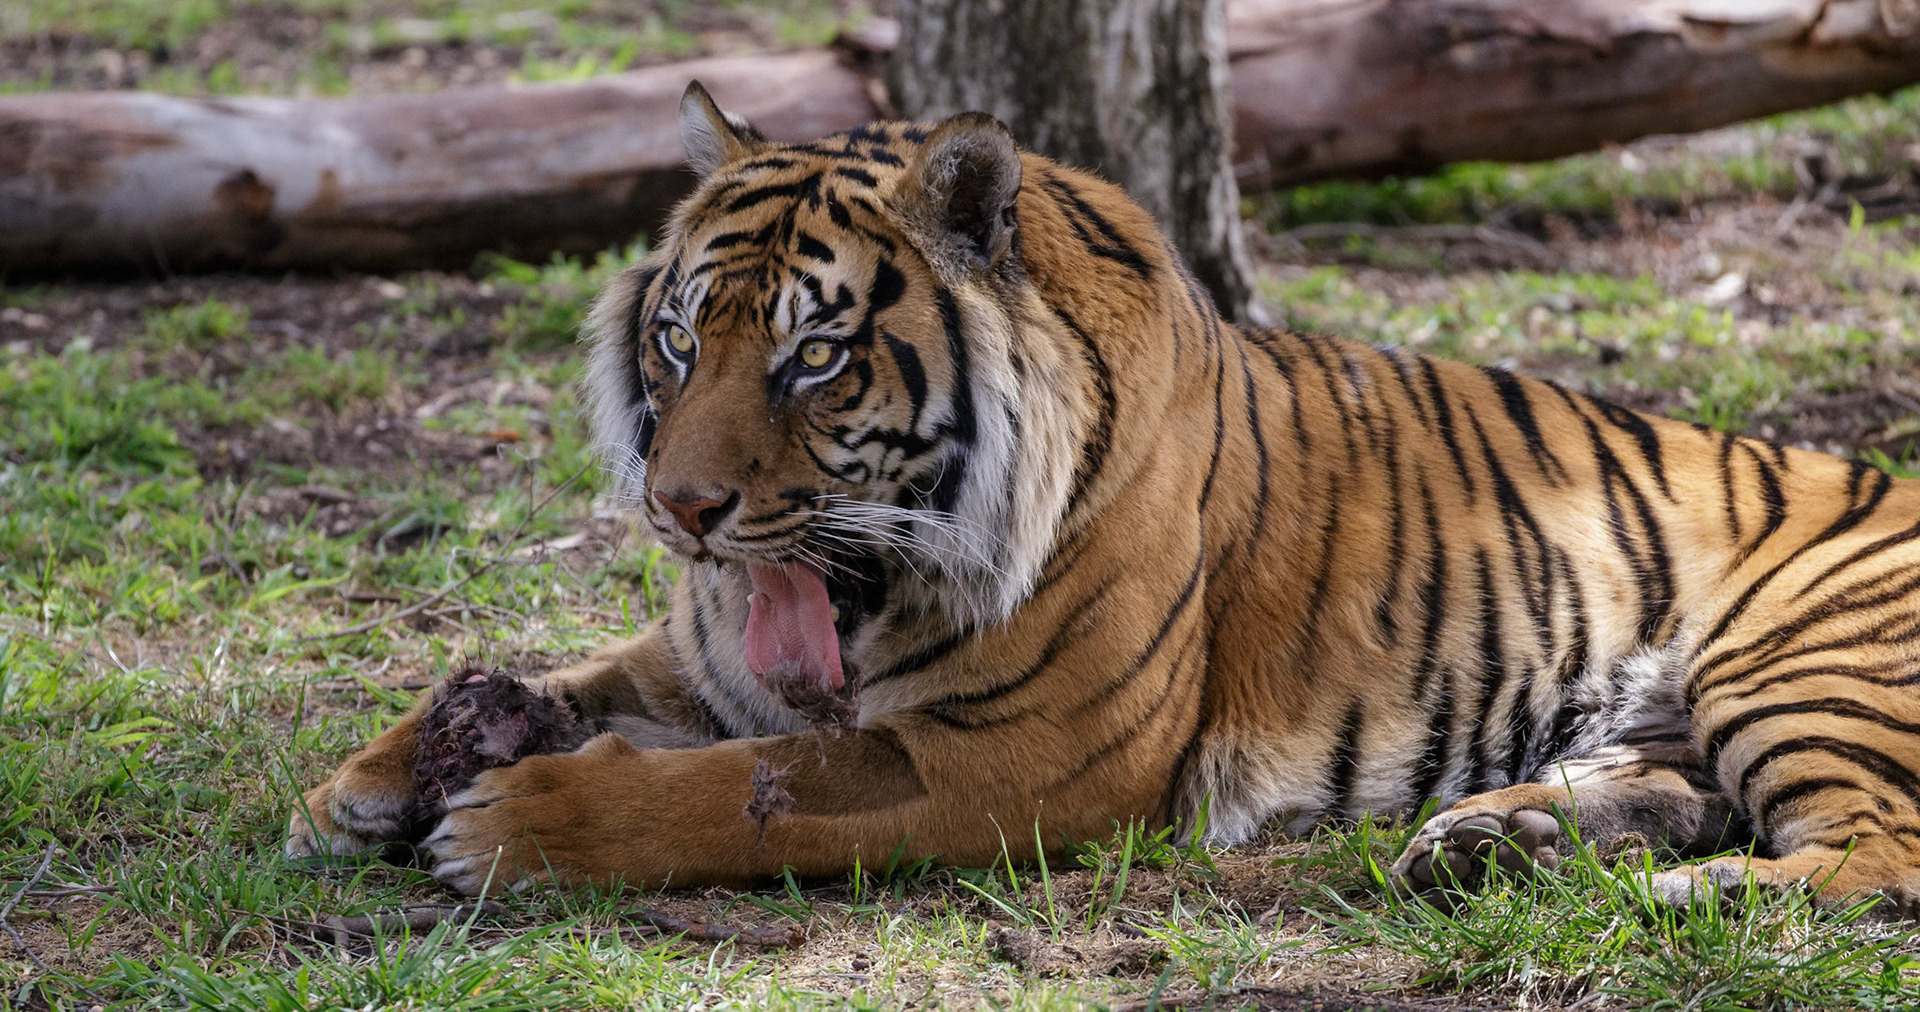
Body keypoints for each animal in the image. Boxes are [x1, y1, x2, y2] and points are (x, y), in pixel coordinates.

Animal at [286, 82, 1920, 914]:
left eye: (816, 356)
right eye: (683, 338)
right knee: (1690, 795)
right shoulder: (708, 656)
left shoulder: (1021, 762)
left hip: (1803, 664)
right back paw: (1488, 842)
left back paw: (1679, 899)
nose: (679, 512)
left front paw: (511, 823)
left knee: (1869, 862)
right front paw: (357, 787)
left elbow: (742, 795)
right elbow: (590, 684)